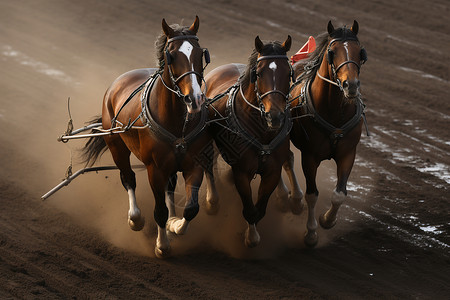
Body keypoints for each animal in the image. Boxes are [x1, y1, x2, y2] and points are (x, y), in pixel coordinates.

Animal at [81, 16, 213, 258]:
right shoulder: (155, 169)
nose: (195, 99)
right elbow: (159, 210)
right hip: (116, 146)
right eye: (172, 55)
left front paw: (175, 225)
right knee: (128, 178)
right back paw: (135, 219)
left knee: (170, 188)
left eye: (201, 54)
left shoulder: (194, 164)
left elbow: (191, 208)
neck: (178, 123)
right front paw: (162, 245)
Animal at [204, 35, 296, 246]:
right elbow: (249, 209)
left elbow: (259, 210)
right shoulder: (242, 172)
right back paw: (213, 201)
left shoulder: (272, 172)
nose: (275, 116)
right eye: (259, 74)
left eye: (288, 74)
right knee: (208, 164)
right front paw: (251, 237)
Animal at [280, 20, 368, 246]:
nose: (351, 85)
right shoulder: (310, 156)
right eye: (332, 52)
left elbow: (339, 194)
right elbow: (312, 194)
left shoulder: (348, 153)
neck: (335, 113)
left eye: (360, 52)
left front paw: (327, 220)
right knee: (286, 160)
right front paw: (311, 233)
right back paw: (293, 200)